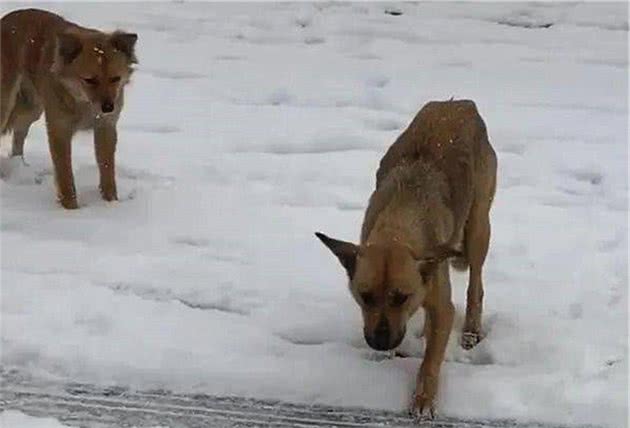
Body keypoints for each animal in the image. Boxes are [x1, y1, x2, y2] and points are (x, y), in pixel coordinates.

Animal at [0, 8, 138, 209]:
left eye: (115, 79)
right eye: (90, 80)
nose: (108, 107)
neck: (82, 103)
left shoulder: (106, 127)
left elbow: (107, 170)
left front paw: (110, 204)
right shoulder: (59, 129)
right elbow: (65, 174)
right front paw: (71, 209)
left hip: (31, 108)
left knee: (19, 136)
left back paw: (19, 166)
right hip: (6, 102)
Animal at [318, 99, 502, 418]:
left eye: (401, 297)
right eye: (364, 296)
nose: (380, 343)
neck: (398, 228)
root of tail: (461, 104)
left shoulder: (443, 307)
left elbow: (431, 359)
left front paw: (424, 399)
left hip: (479, 227)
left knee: (476, 283)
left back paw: (470, 330)